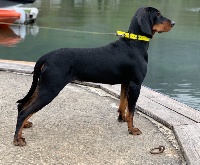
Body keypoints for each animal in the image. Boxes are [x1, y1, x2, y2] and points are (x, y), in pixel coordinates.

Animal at [13, 6, 174, 146]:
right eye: (158, 14)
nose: (173, 23)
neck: (134, 43)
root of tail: (46, 57)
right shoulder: (135, 84)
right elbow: (132, 110)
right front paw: (132, 129)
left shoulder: (125, 83)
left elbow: (122, 104)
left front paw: (121, 119)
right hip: (50, 89)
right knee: (24, 111)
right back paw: (17, 139)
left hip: (43, 86)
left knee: (22, 106)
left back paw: (24, 126)